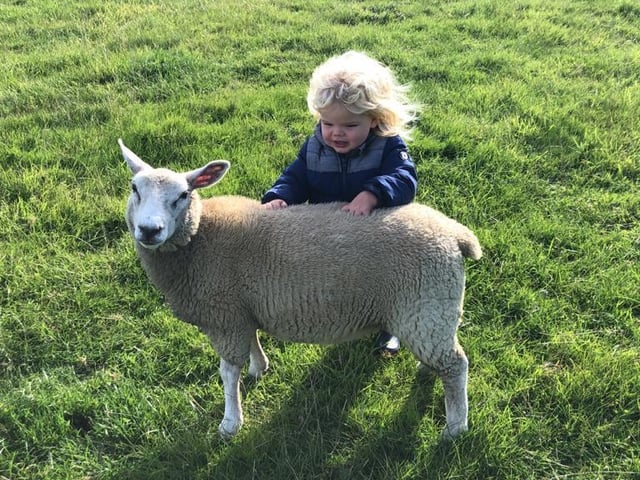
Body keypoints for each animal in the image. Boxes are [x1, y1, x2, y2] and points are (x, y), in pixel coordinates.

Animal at [118, 138, 482, 441]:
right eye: (134, 188)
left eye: (183, 195)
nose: (149, 230)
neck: (200, 239)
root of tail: (456, 235)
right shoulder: (241, 309)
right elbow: (253, 341)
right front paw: (259, 368)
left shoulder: (224, 317)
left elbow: (227, 372)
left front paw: (230, 423)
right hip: (428, 313)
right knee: (443, 356)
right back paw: (429, 374)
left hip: (427, 302)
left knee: (456, 365)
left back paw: (455, 427)